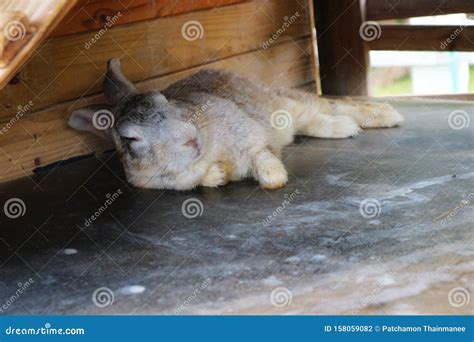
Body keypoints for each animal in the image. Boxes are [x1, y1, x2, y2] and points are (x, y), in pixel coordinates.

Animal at [69, 59, 404, 192]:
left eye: (163, 99)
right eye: (131, 140)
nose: (191, 139)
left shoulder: (252, 140)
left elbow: (265, 163)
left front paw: (275, 179)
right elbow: (209, 179)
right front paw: (219, 174)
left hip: (286, 105)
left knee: (329, 106)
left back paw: (383, 117)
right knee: (316, 120)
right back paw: (350, 126)